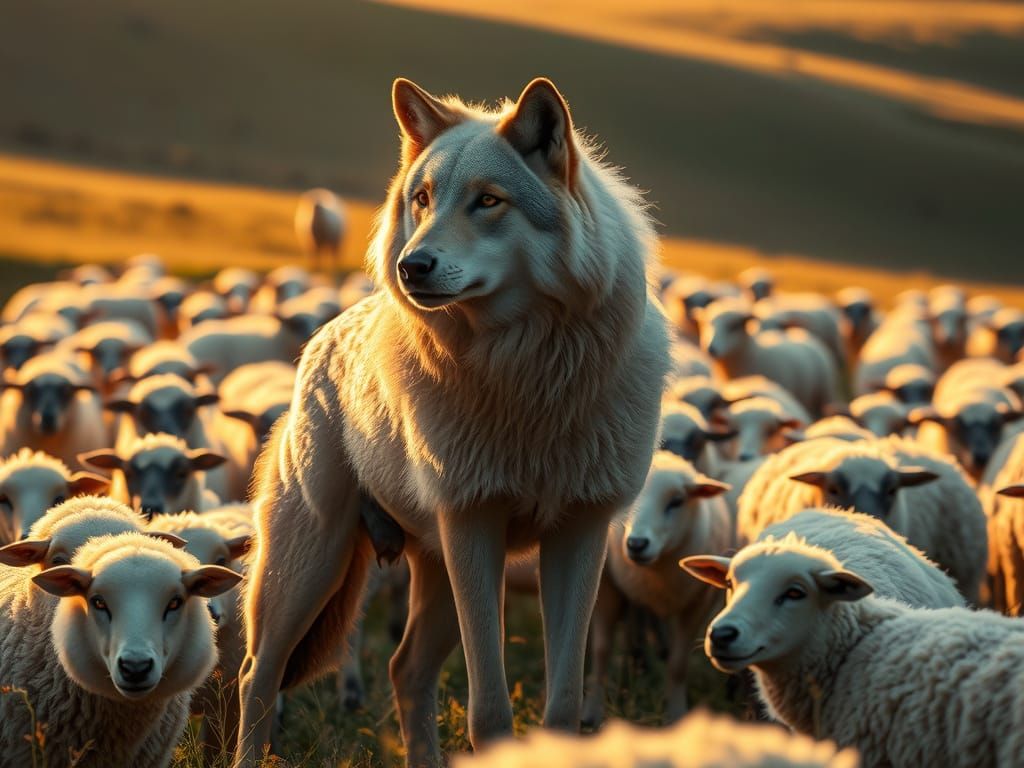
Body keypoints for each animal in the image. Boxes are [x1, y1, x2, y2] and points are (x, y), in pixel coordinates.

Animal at [234, 77, 669, 766]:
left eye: (488, 201)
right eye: (423, 199)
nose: (412, 267)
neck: (526, 376)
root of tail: (324, 333)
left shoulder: (580, 534)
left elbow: (562, 709)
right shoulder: (474, 526)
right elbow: (489, 713)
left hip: (431, 575)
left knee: (405, 671)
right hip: (308, 569)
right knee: (258, 676)